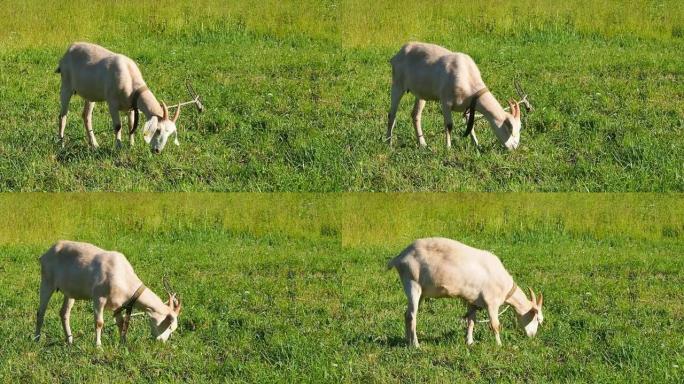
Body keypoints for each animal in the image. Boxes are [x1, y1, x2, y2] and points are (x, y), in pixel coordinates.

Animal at [34, 242, 182, 346]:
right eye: (169, 326)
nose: (161, 342)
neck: (122, 275)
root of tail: (46, 254)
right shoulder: (99, 298)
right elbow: (99, 322)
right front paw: (98, 346)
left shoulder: (118, 304)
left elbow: (121, 322)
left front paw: (123, 342)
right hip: (46, 282)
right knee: (40, 311)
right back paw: (36, 339)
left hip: (70, 292)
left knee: (64, 313)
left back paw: (70, 341)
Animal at [384, 42, 524, 150]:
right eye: (510, 130)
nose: (514, 148)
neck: (468, 77)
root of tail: (398, 54)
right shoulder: (445, 102)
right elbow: (449, 125)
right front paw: (448, 148)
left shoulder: (469, 105)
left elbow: (470, 124)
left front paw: (476, 144)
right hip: (397, 84)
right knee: (392, 114)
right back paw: (388, 142)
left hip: (421, 93)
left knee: (415, 115)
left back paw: (422, 144)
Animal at [388, 237, 544, 348]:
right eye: (537, 319)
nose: (532, 336)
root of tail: (400, 257)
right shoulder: (491, 302)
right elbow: (495, 325)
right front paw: (499, 345)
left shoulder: (473, 301)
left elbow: (471, 321)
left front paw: (469, 342)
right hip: (412, 283)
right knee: (412, 315)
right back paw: (416, 344)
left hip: (421, 291)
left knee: (407, 314)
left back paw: (407, 342)